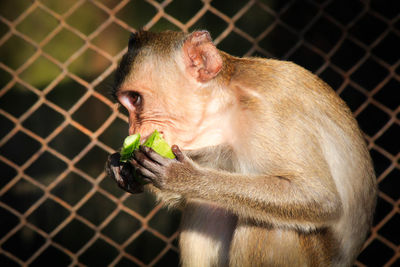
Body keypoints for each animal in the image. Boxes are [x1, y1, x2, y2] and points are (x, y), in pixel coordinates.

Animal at [105, 30, 376, 266]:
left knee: (270, 226)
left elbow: (319, 197)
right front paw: (122, 166)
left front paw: (183, 176)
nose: (132, 131)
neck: (227, 104)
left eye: (136, 99)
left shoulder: (271, 110)